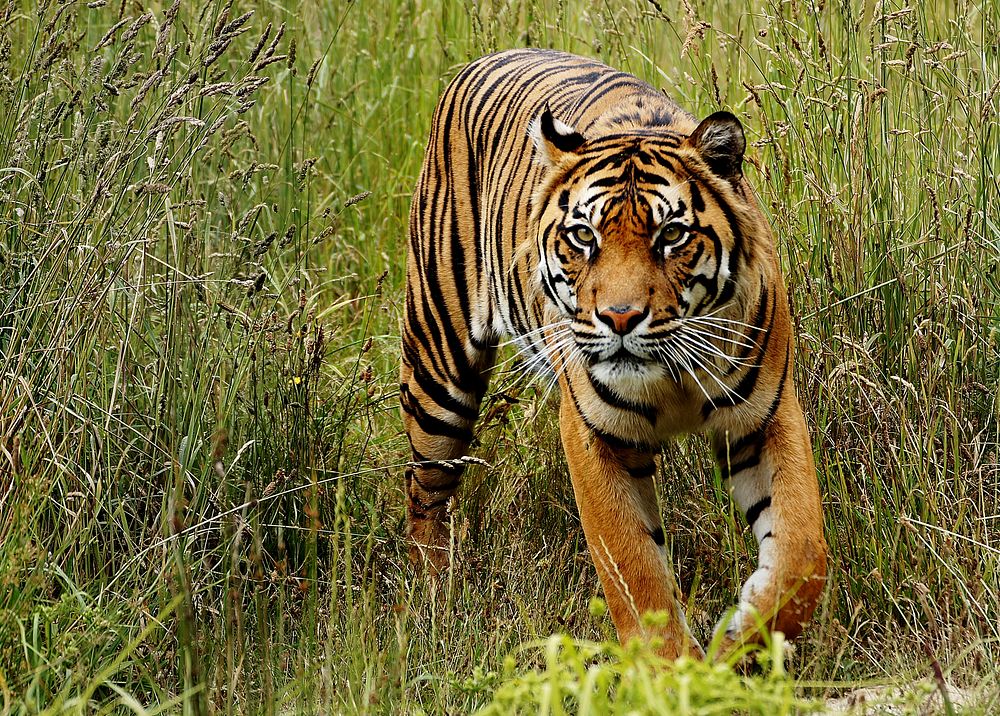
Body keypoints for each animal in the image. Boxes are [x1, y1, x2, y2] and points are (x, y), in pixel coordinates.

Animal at [398, 47, 828, 656]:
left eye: (671, 236)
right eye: (584, 236)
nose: (620, 318)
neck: (672, 375)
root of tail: (485, 59)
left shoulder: (764, 416)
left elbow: (802, 553)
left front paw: (740, 641)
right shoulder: (594, 435)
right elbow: (634, 570)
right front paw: (673, 670)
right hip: (439, 370)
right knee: (426, 492)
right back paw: (435, 601)